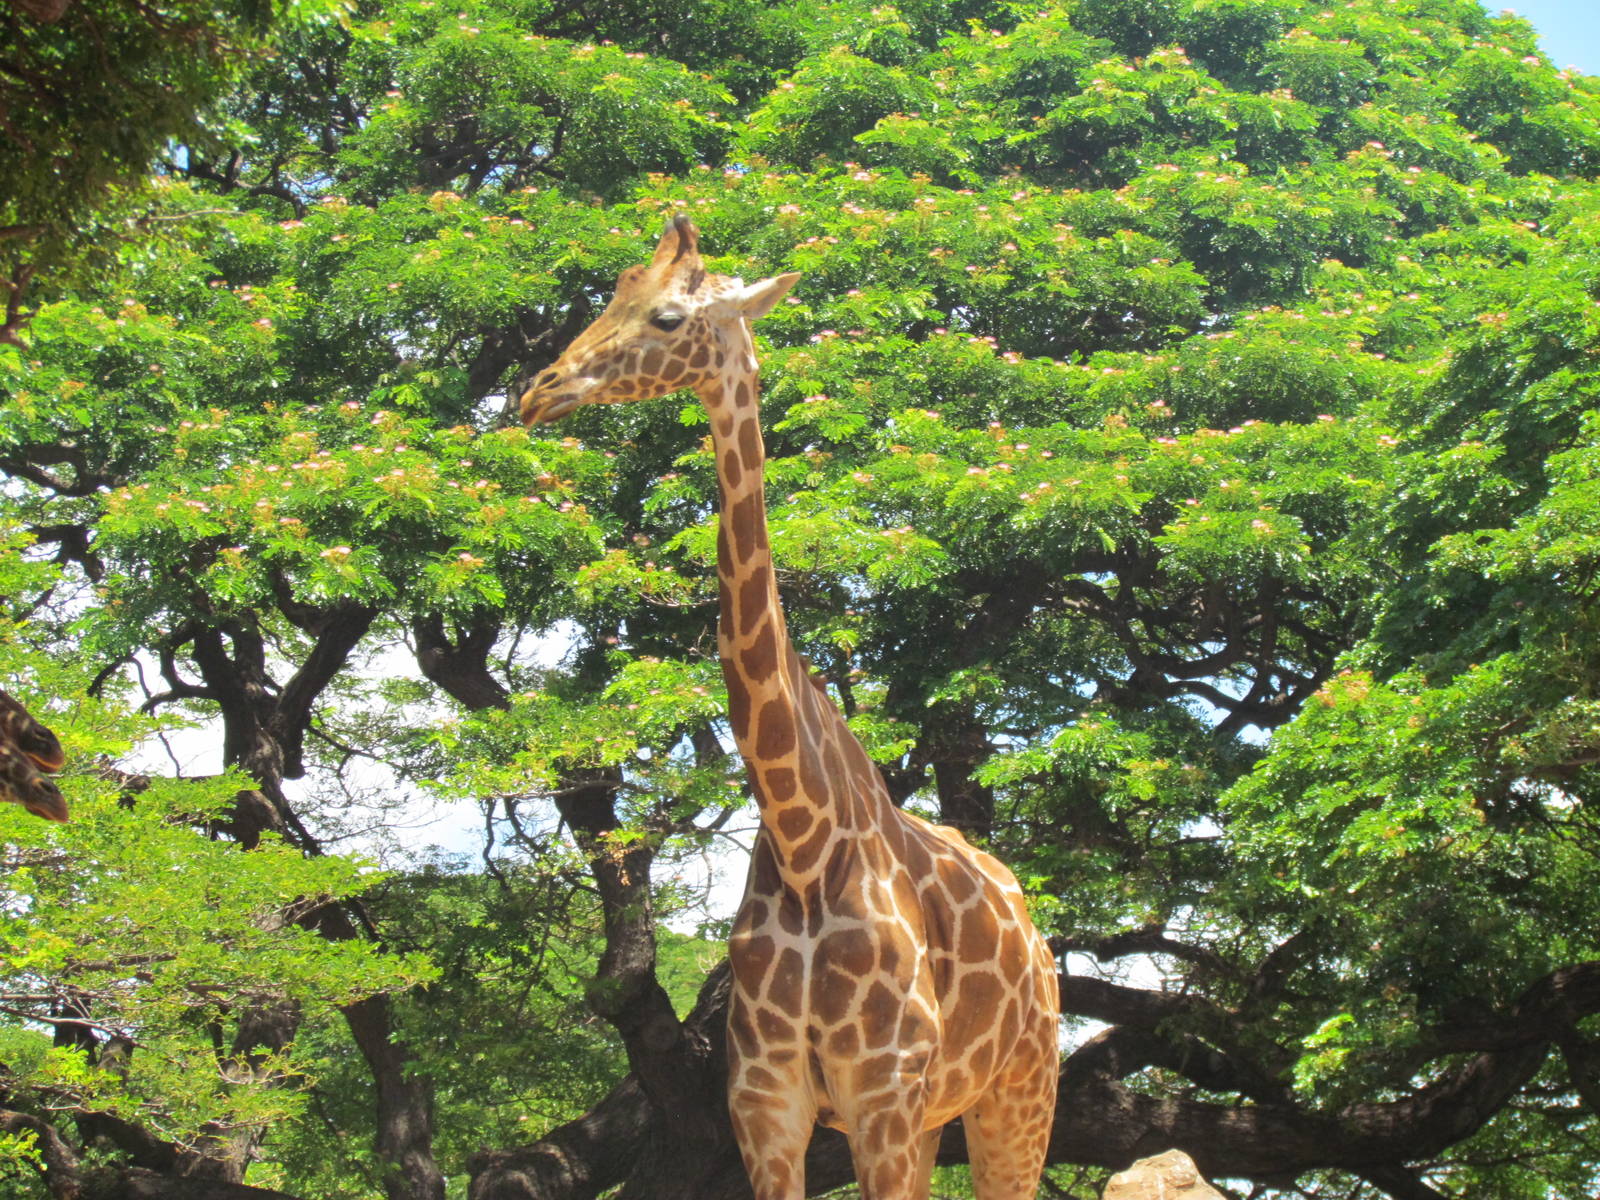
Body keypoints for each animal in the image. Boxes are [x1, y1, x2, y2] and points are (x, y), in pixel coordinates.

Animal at [520, 216, 1060, 1199]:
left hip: (1020, 1090)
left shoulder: (882, 1096)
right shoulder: (766, 1105)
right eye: (612, 292)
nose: (538, 391)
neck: (806, 842)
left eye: (667, 316)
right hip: (939, 1112)